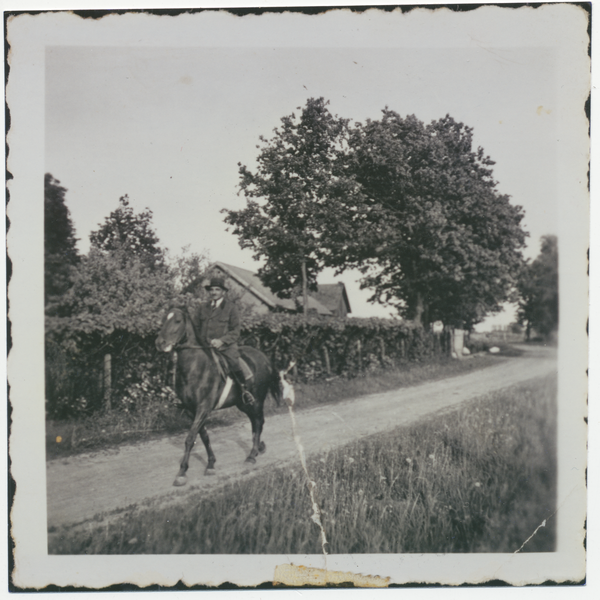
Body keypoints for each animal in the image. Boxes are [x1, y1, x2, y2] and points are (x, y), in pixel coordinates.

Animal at [155, 308, 282, 486]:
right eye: (163, 319)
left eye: (178, 321)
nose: (160, 343)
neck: (196, 367)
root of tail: (264, 357)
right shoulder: (191, 410)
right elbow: (203, 436)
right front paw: (210, 464)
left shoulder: (203, 408)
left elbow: (190, 438)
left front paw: (182, 472)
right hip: (244, 404)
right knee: (256, 422)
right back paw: (258, 448)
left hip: (256, 401)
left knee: (257, 423)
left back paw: (251, 455)